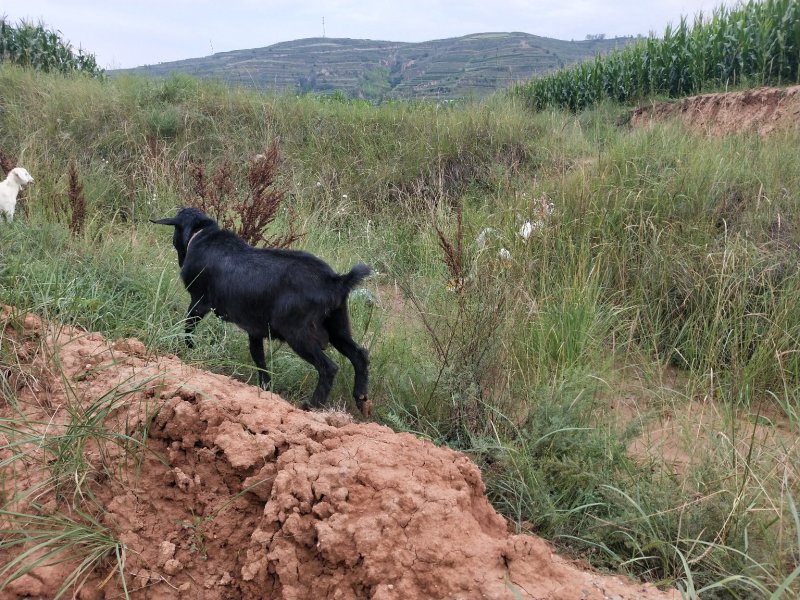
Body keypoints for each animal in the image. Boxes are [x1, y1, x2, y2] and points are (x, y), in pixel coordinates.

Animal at [152, 209, 372, 414]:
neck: (203, 235)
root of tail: (336, 281)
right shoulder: (255, 328)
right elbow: (258, 357)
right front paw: (265, 388)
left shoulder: (199, 302)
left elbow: (188, 328)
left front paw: (188, 350)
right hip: (337, 325)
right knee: (359, 355)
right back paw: (361, 399)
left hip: (297, 331)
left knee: (328, 367)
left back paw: (311, 405)